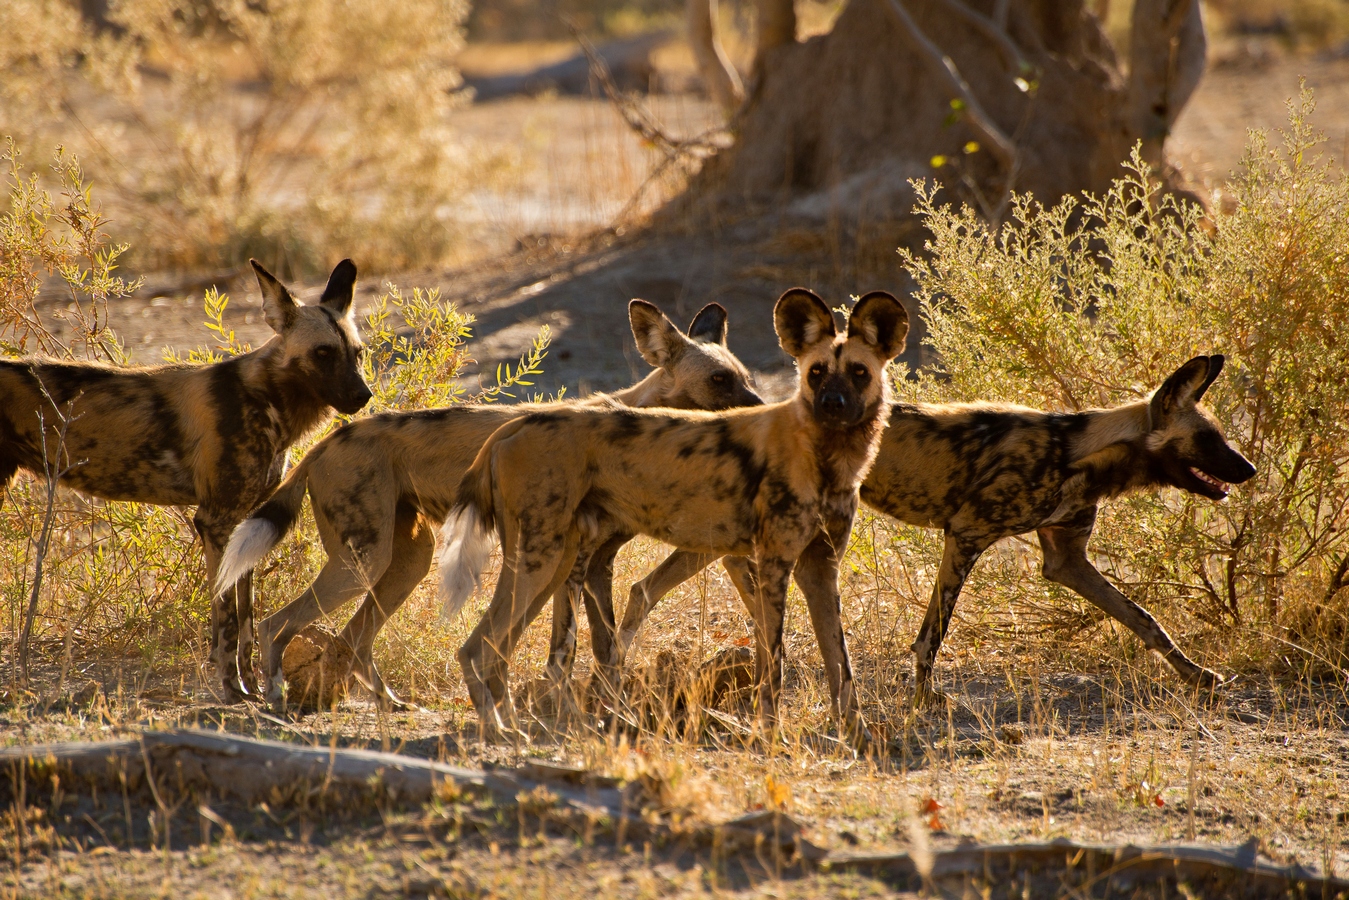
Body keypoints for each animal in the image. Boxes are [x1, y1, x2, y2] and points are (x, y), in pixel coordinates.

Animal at [0, 259, 372, 699]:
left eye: (358, 354)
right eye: (323, 353)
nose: (363, 396)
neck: (267, 400)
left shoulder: (244, 523)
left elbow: (246, 618)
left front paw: (250, 685)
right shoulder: (215, 521)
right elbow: (227, 618)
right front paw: (232, 689)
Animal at [215, 299, 761, 712]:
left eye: (747, 377)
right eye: (719, 380)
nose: (760, 409)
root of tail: (327, 442)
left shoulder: (585, 564)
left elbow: (597, 647)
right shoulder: (578, 563)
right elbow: (577, 647)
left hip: (403, 563)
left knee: (355, 637)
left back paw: (390, 703)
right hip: (361, 563)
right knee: (276, 624)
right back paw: (274, 697)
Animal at [438, 289, 907, 746]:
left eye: (860, 373)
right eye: (816, 372)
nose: (831, 404)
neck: (826, 457)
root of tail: (514, 424)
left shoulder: (818, 569)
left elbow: (839, 665)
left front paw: (859, 736)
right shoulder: (768, 564)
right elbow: (770, 659)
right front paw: (771, 738)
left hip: (550, 565)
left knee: (501, 650)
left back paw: (513, 724)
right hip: (543, 562)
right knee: (478, 648)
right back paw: (500, 730)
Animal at [599, 354, 1256, 704]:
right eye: (1208, 439)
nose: (1249, 469)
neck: (1076, 449)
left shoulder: (1066, 562)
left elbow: (1145, 619)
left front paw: (1198, 677)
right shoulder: (965, 537)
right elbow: (932, 635)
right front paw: (923, 698)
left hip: (714, 534)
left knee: (641, 590)